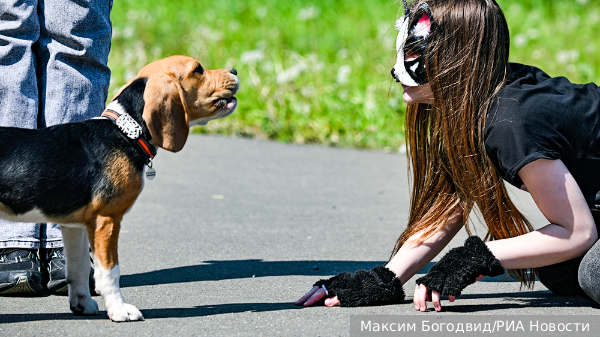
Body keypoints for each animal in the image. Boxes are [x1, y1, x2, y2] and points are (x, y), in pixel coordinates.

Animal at [0, 55, 239, 320]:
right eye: (198, 70)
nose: (235, 70)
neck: (126, 131)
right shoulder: (107, 219)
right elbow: (110, 271)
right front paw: (119, 309)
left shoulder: (75, 225)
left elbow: (79, 268)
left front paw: (82, 304)